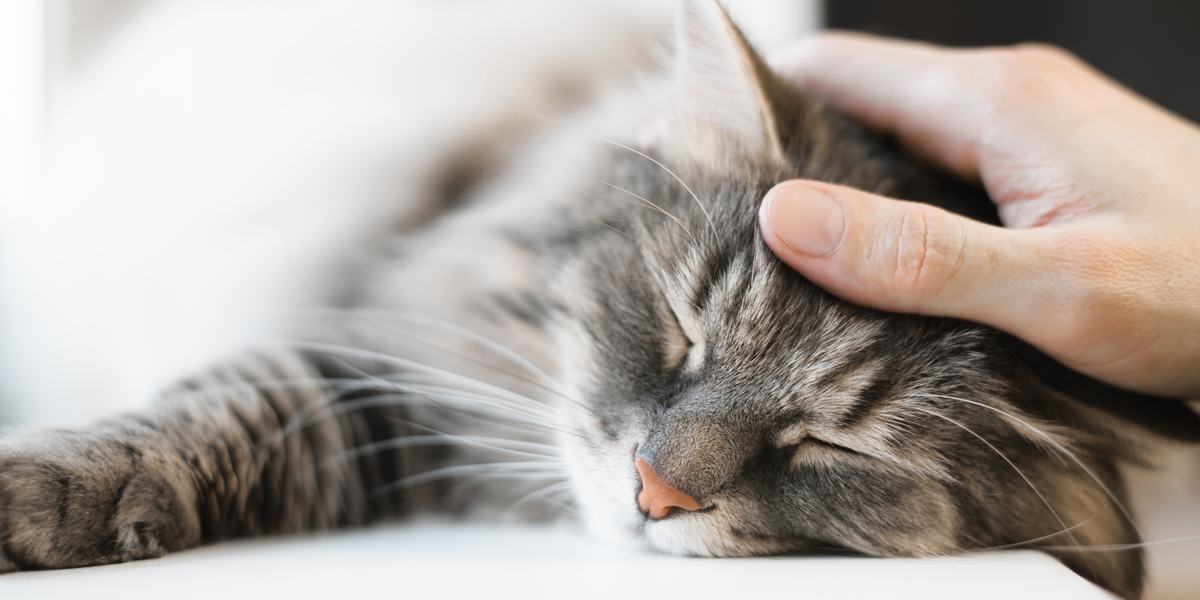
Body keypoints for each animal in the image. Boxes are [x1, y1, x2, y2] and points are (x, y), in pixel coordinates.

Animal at [2, 2, 1200, 597]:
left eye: (834, 447)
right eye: (679, 333)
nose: (653, 494)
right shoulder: (384, 366)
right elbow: (204, 415)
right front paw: (43, 488)